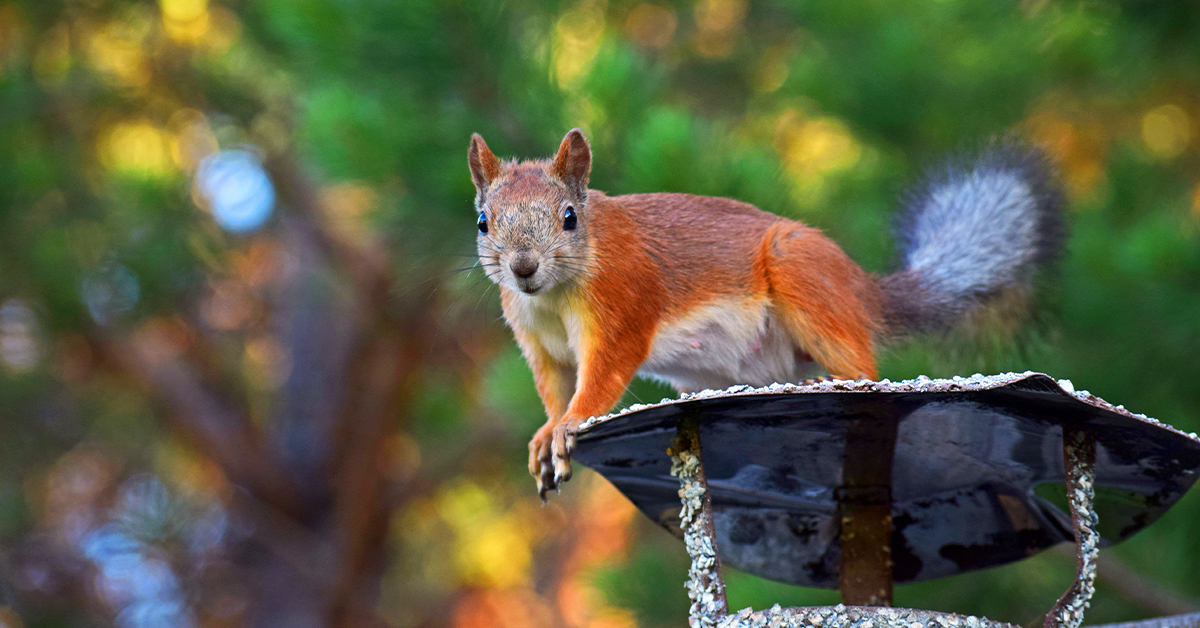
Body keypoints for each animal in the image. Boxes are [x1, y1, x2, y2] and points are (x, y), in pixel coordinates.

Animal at [472, 129, 1065, 501]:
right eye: (483, 221)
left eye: (570, 217)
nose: (523, 267)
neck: (549, 298)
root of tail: (862, 290)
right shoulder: (539, 343)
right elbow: (554, 385)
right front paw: (546, 433)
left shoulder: (622, 305)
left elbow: (601, 377)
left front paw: (570, 425)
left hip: (803, 278)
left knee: (863, 367)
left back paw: (837, 383)